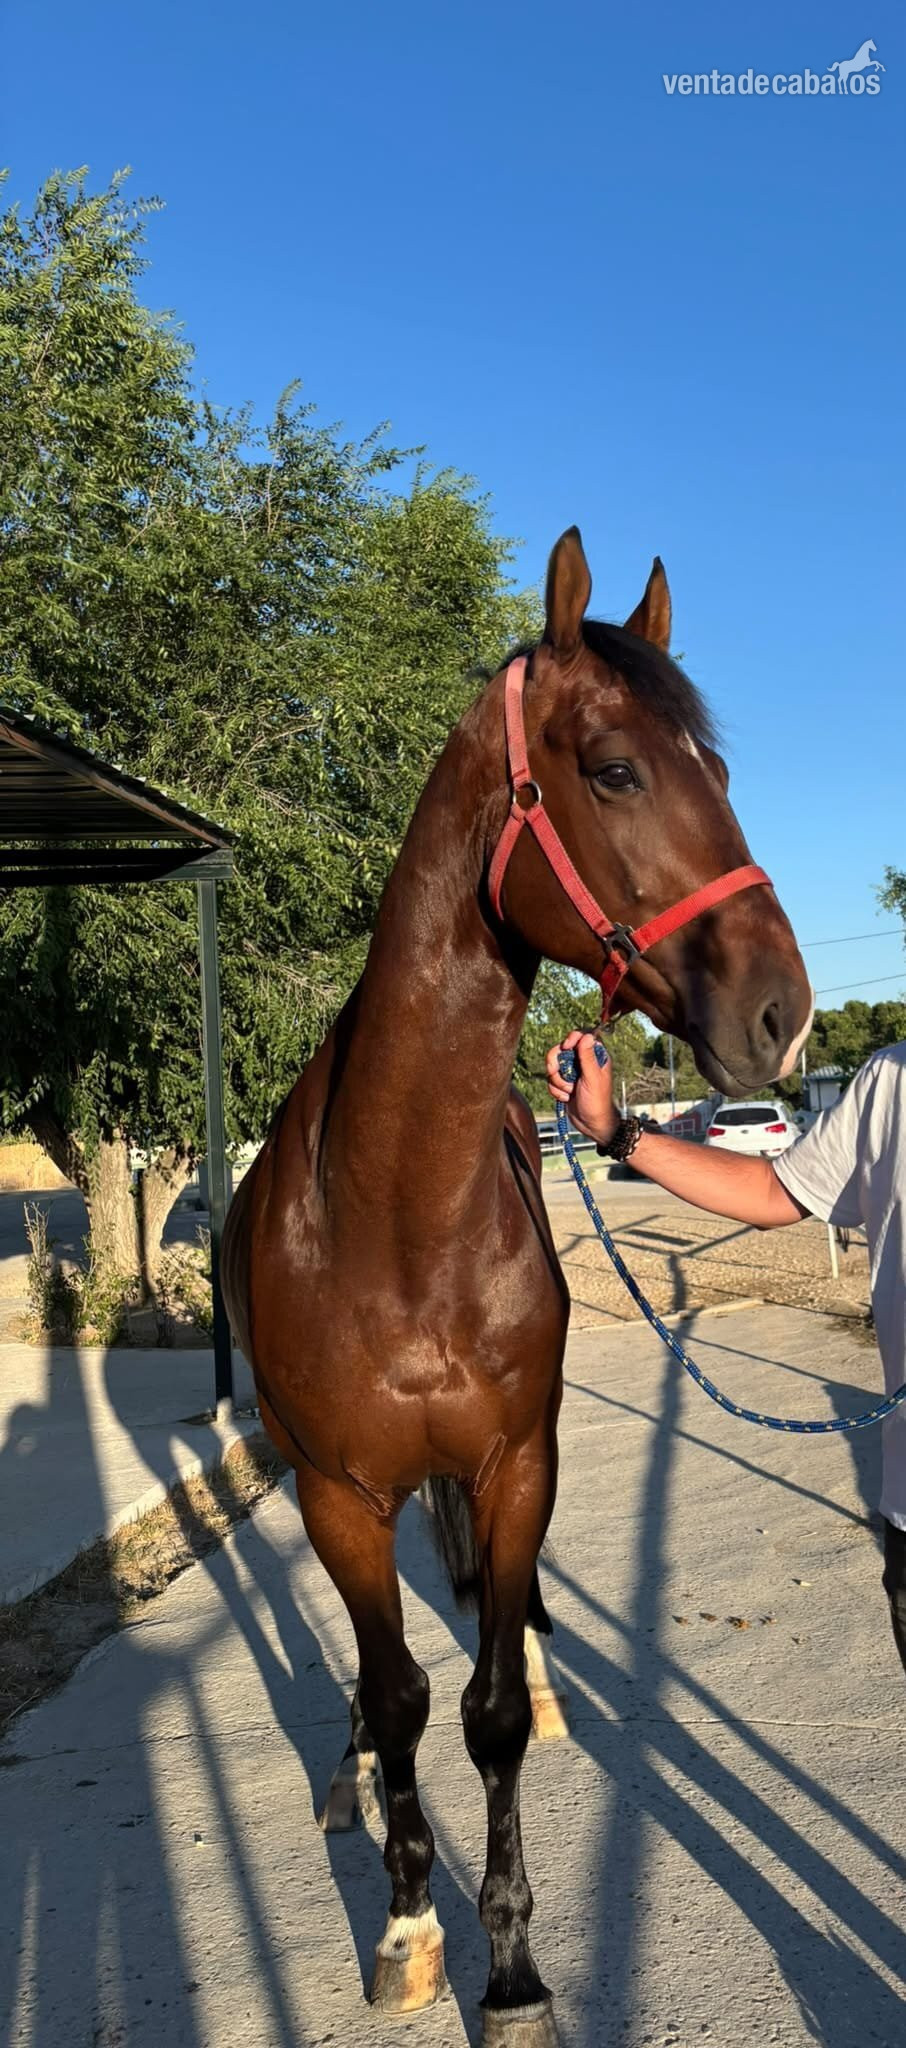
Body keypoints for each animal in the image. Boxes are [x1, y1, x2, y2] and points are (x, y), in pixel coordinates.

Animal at [222, 527, 812, 2046]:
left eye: (721, 773)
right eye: (614, 769)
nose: (781, 1015)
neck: (392, 1217)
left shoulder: (514, 1459)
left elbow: (482, 1709)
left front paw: (513, 1969)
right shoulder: (337, 1493)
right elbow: (398, 1694)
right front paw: (408, 1923)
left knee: (503, 1616)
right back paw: (350, 1777)